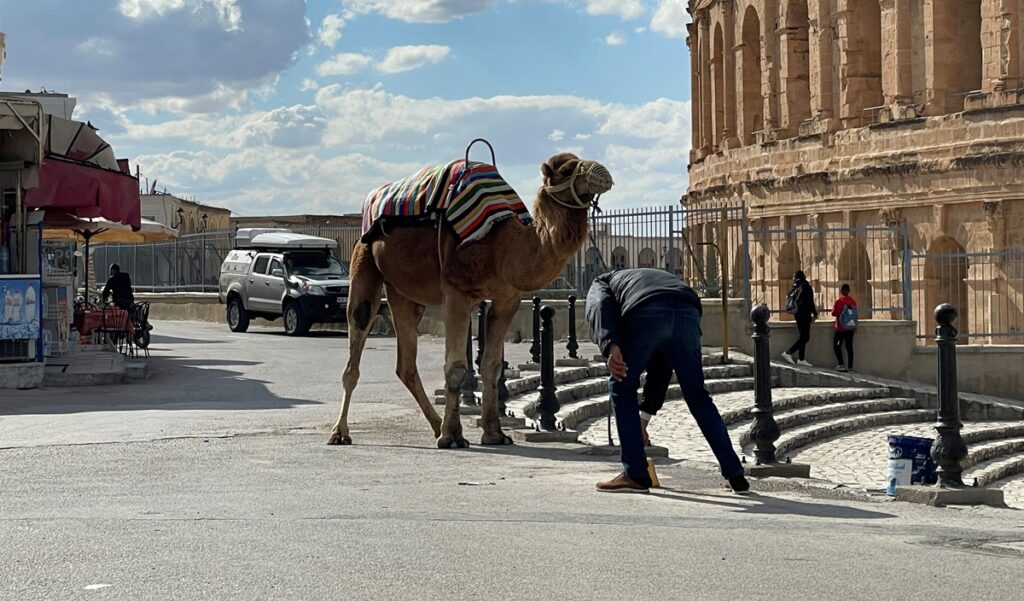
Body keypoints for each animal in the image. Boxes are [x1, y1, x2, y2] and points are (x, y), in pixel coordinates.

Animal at [331, 152, 610, 448]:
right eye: (567, 169)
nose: (603, 172)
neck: (501, 246)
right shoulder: (456, 293)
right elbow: (456, 366)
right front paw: (452, 436)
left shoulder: (507, 299)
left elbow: (492, 366)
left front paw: (494, 433)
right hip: (364, 262)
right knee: (356, 341)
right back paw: (340, 432)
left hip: (403, 293)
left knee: (405, 364)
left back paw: (435, 426)